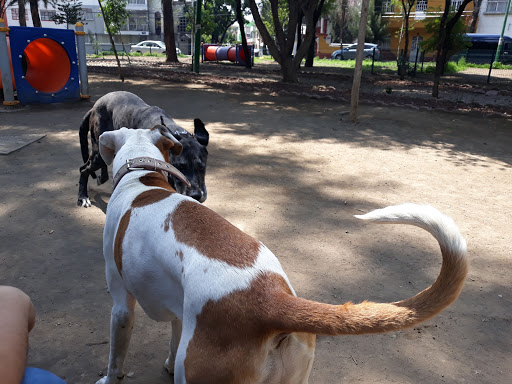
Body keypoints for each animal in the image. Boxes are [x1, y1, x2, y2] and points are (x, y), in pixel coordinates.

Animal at [77, 91, 209, 207]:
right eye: (180, 167)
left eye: (202, 167)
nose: (195, 195)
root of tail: (94, 107)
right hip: (98, 154)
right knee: (83, 169)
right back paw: (83, 197)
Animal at [96, 127, 468, 382]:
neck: (143, 178)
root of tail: (270, 299)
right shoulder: (177, 311)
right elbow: (172, 341)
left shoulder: (120, 303)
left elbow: (116, 355)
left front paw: (109, 377)